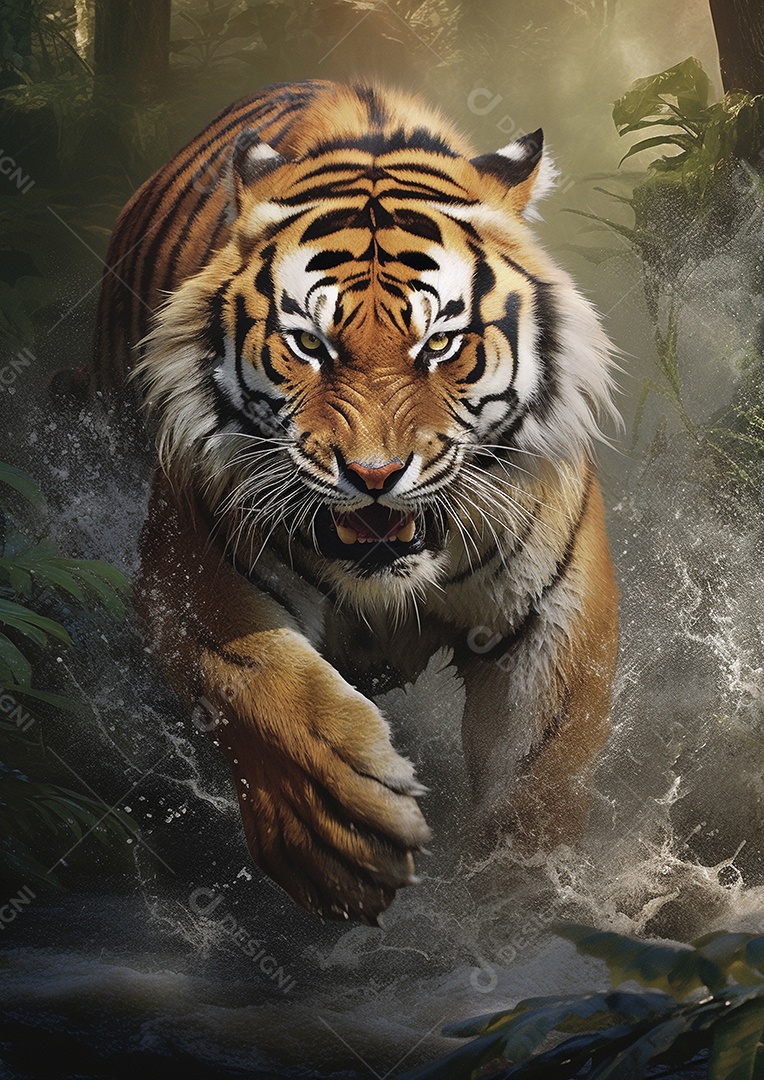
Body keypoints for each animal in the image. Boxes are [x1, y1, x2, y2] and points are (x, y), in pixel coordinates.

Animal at [91, 80, 619, 925]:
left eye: (439, 344)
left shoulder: (553, 620)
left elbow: (536, 782)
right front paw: (335, 836)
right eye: (310, 344)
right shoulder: (189, 577)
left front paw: (518, 907)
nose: (375, 474)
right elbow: (256, 683)